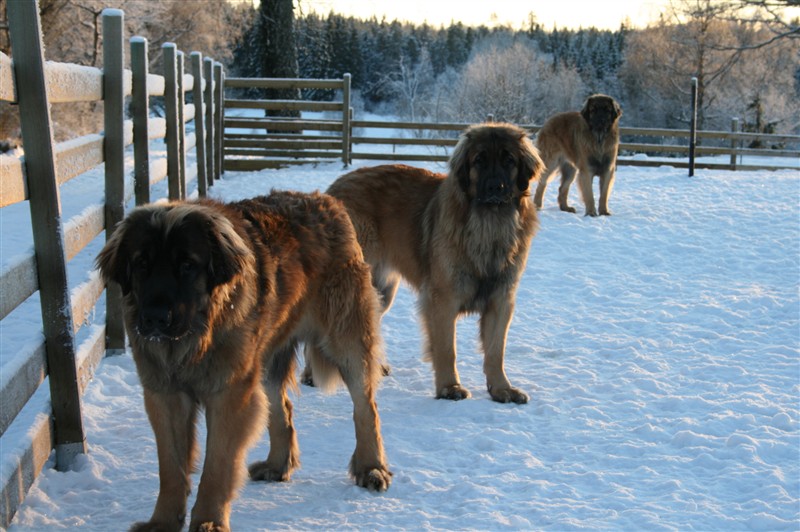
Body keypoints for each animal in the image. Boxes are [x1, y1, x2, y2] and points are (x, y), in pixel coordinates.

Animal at [97, 192, 390, 532]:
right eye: (141, 264)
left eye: (187, 266)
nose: (156, 317)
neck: (192, 340)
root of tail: (326, 200)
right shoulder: (164, 394)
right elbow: (170, 468)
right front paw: (163, 522)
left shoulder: (229, 395)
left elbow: (217, 465)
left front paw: (208, 521)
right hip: (266, 356)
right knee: (281, 408)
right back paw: (277, 465)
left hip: (345, 339)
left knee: (366, 406)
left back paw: (371, 468)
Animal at [300, 121, 544, 404]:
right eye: (479, 160)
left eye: (508, 160)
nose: (495, 188)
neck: (490, 225)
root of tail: (333, 189)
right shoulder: (443, 300)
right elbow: (447, 348)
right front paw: (449, 387)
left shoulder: (501, 299)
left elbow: (496, 351)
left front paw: (502, 388)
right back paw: (311, 374)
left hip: (381, 290)